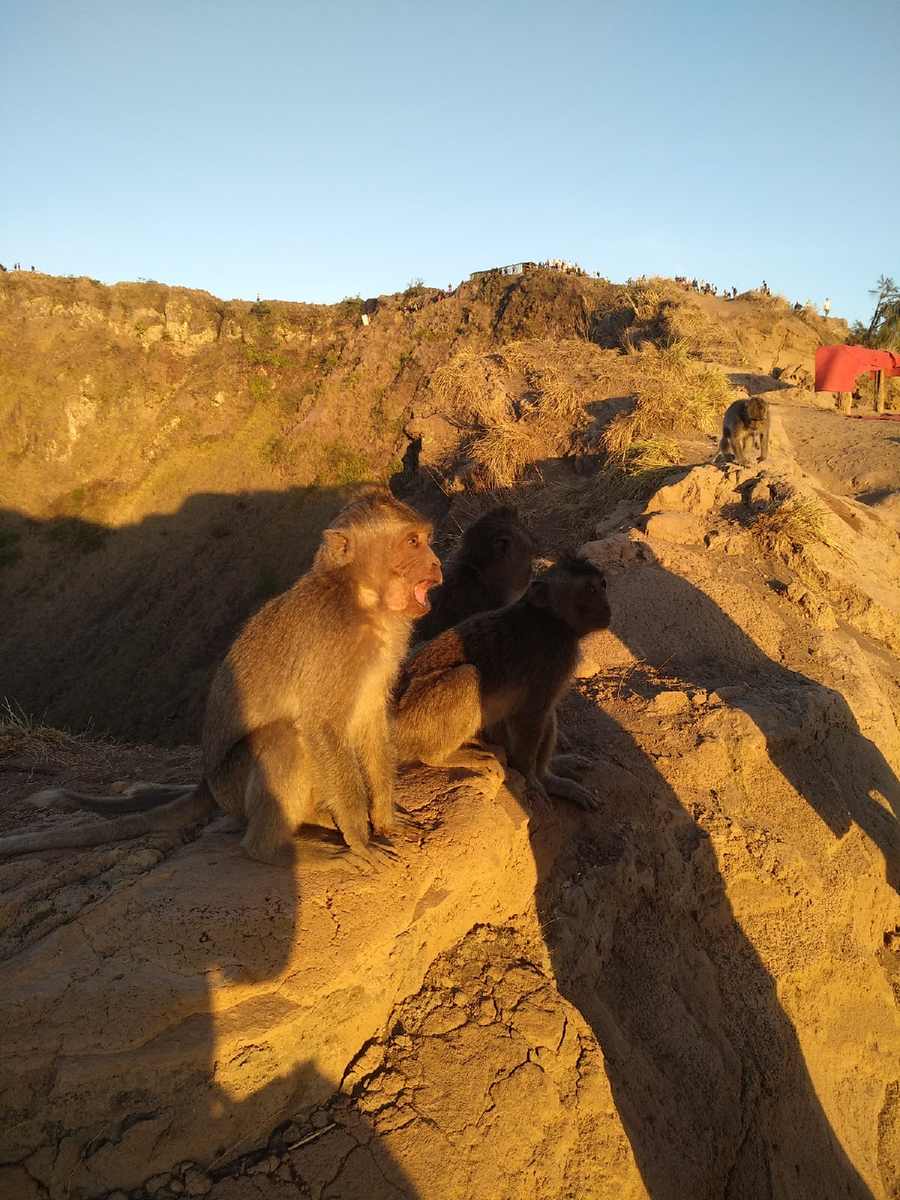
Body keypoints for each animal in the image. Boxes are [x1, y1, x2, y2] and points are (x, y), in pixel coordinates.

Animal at [0, 492, 444, 868]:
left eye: (424, 539)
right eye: (412, 542)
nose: (437, 563)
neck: (362, 598)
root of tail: (210, 783)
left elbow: (371, 718)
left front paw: (383, 818)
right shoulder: (332, 639)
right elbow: (321, 727)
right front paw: (360, 838)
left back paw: (317, 819)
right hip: (234, 785)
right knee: (284, 739)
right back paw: (275, 850)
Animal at [393, 556, 614, 811]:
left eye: (602, 586)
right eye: (589, 590)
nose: (607, 608)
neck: (552, 618)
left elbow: (541, 714)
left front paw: (549, 777)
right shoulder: (557, 656)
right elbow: (530, 716)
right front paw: (534, 780)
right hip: (412, 721)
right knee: (468, 676)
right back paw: (442, 757)